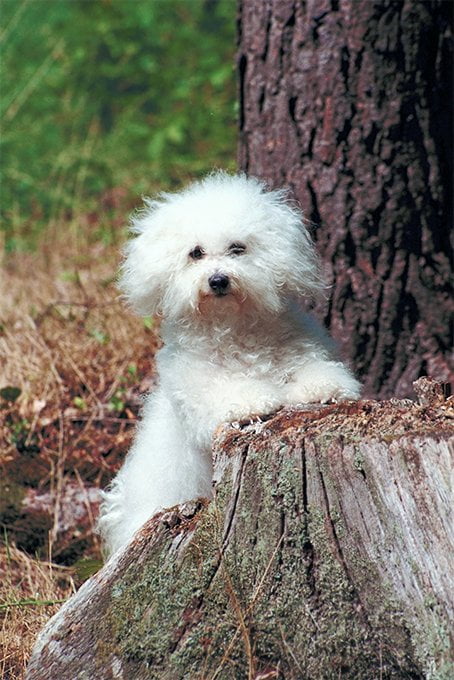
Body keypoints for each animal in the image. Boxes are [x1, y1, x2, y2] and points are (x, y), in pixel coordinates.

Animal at [97, 173, 360, 556]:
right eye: (196, 253)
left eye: (238, 248)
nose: (218, 280)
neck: (233, 328)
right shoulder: (197, 389)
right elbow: (227, 391)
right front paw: (253, 402)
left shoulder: (304, 350)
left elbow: (313, 368)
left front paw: (325, 387)